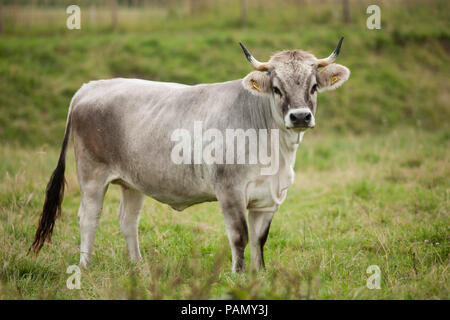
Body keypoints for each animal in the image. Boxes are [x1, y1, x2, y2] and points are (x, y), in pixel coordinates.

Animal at [29, 37, 350, 272]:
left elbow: (260, 240)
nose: (300, 116)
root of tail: (91, 87)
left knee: (127, 219)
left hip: (132, 181)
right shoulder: (230, 190)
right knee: (89, 216)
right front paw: (238, 276)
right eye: (276, 88)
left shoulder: (269, 198)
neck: (275, 152)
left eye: (313, 86)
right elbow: (240, 236)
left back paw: (138, 266)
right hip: (91, 175)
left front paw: (260, 275)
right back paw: (85, 266)